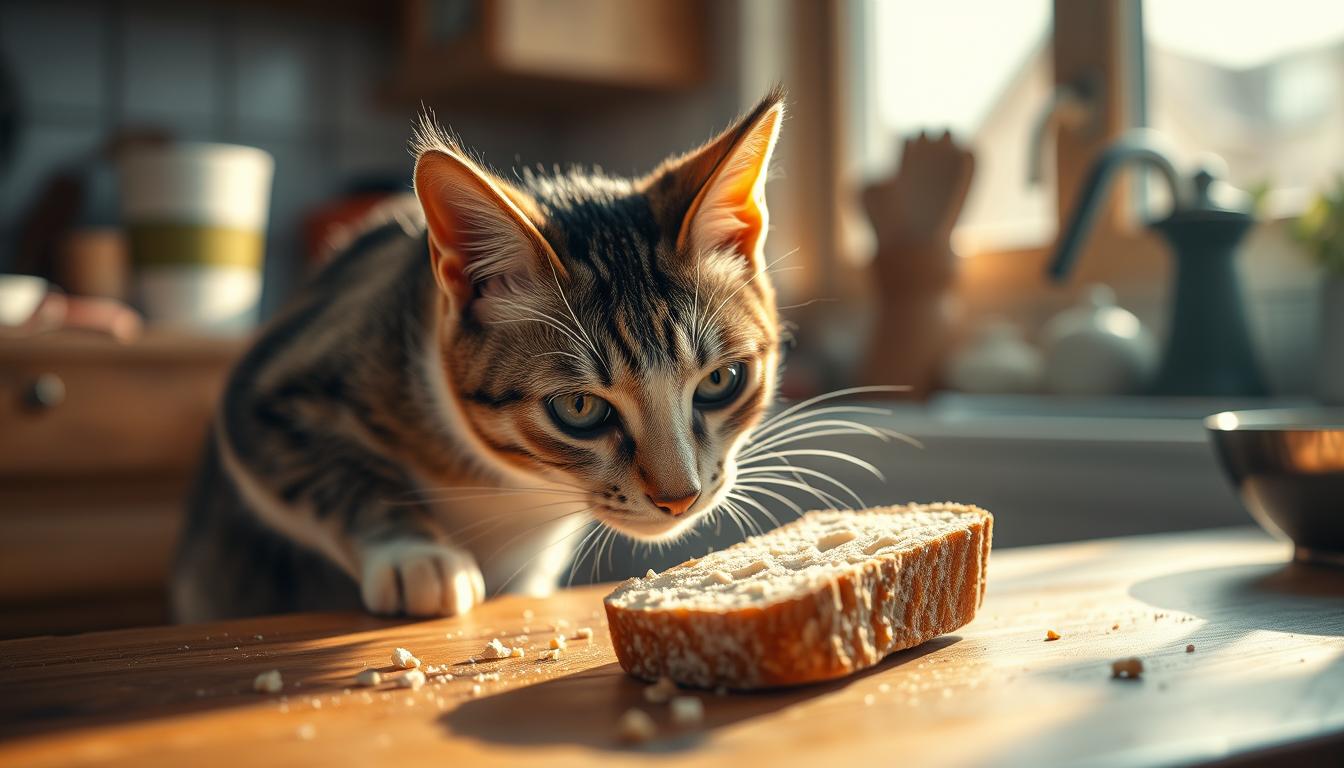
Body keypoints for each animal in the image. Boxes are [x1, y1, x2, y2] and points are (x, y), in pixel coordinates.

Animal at [173, 87, 790, 621]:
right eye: (580, 408)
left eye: (721, 381)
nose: (679, 499)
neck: (518, 486)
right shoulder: (268, 387)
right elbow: (324, 469)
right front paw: (417, 556)